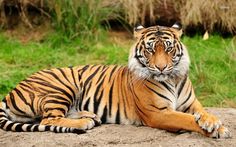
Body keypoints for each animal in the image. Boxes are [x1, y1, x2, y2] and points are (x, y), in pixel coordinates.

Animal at [0, 23, 231, 138]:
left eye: (168, 49)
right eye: (150, 49)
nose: (161, 67)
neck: (172, 79)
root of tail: (12, 90)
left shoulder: (192, 103)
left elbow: (203, 113)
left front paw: (214, 123)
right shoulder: (158, 113)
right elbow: (186, 119)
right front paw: (216, 129)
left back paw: (90, 116)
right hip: (62, 85)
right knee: (48, 119)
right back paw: (84, 122)